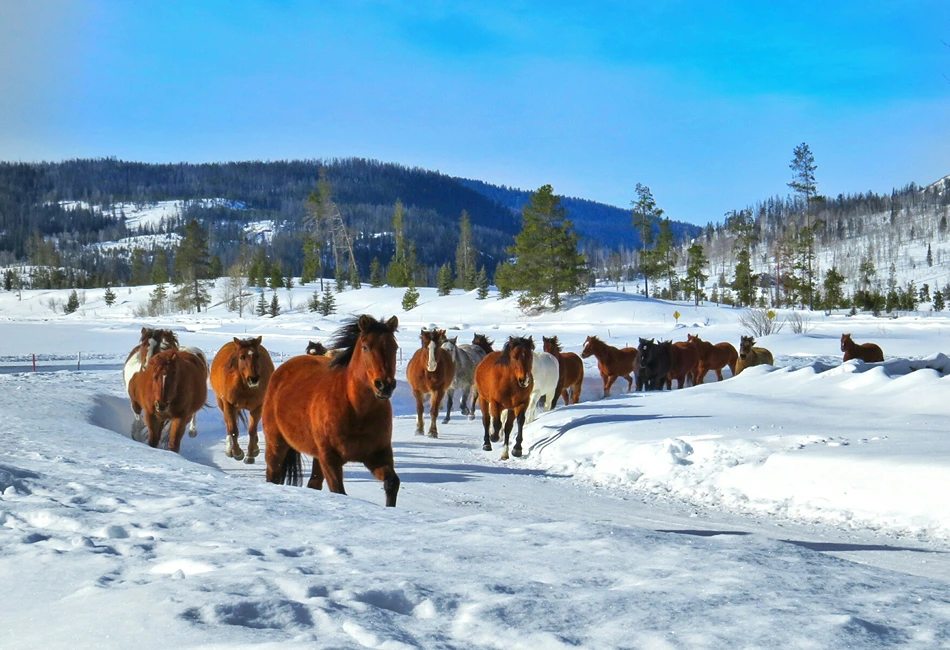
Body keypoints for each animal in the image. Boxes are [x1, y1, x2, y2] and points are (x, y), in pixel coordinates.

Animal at [262, 315, 401, 507]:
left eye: (394, 347)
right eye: (365, 347)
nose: (385, 385)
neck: (357, 411)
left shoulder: (378, 455)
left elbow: (392, 483)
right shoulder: (330, 458)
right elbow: (339, 491)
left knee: (313, 483)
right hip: (276, 444)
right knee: (273, 475)